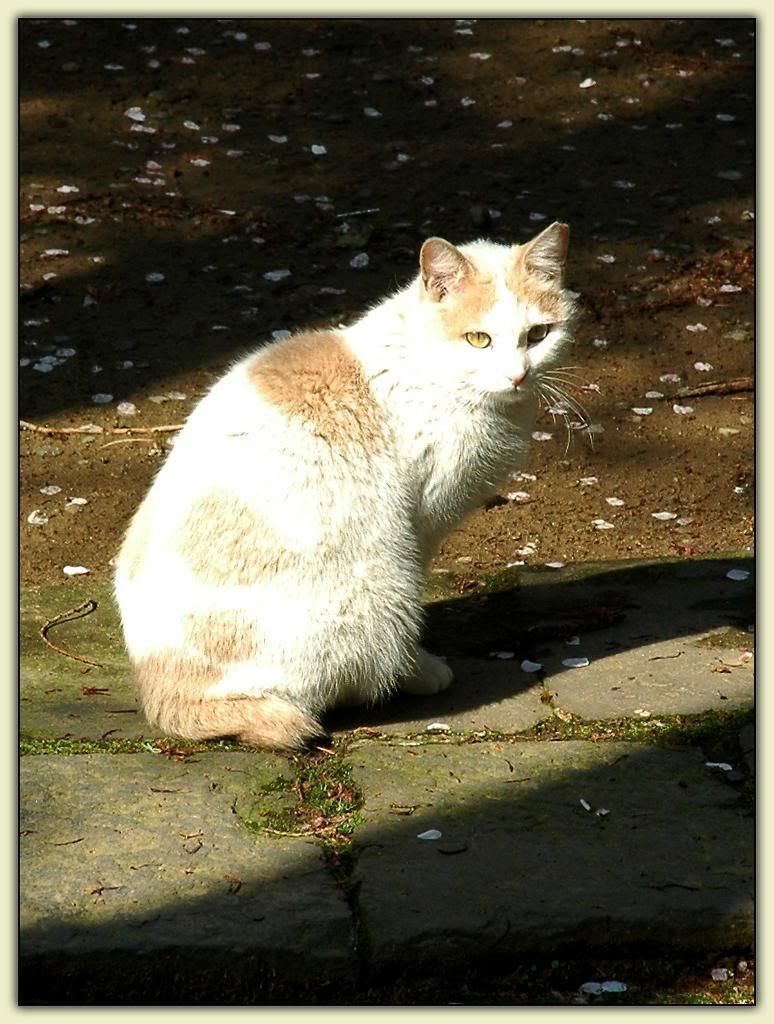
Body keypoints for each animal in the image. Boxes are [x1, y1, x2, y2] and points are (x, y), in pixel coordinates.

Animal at [113, 220, 573, 749]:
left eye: (538, 335)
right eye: (479, 339)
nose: (518, 375)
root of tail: (162, 695)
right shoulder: (420, 522)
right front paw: (420, 666)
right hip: (375, 591)